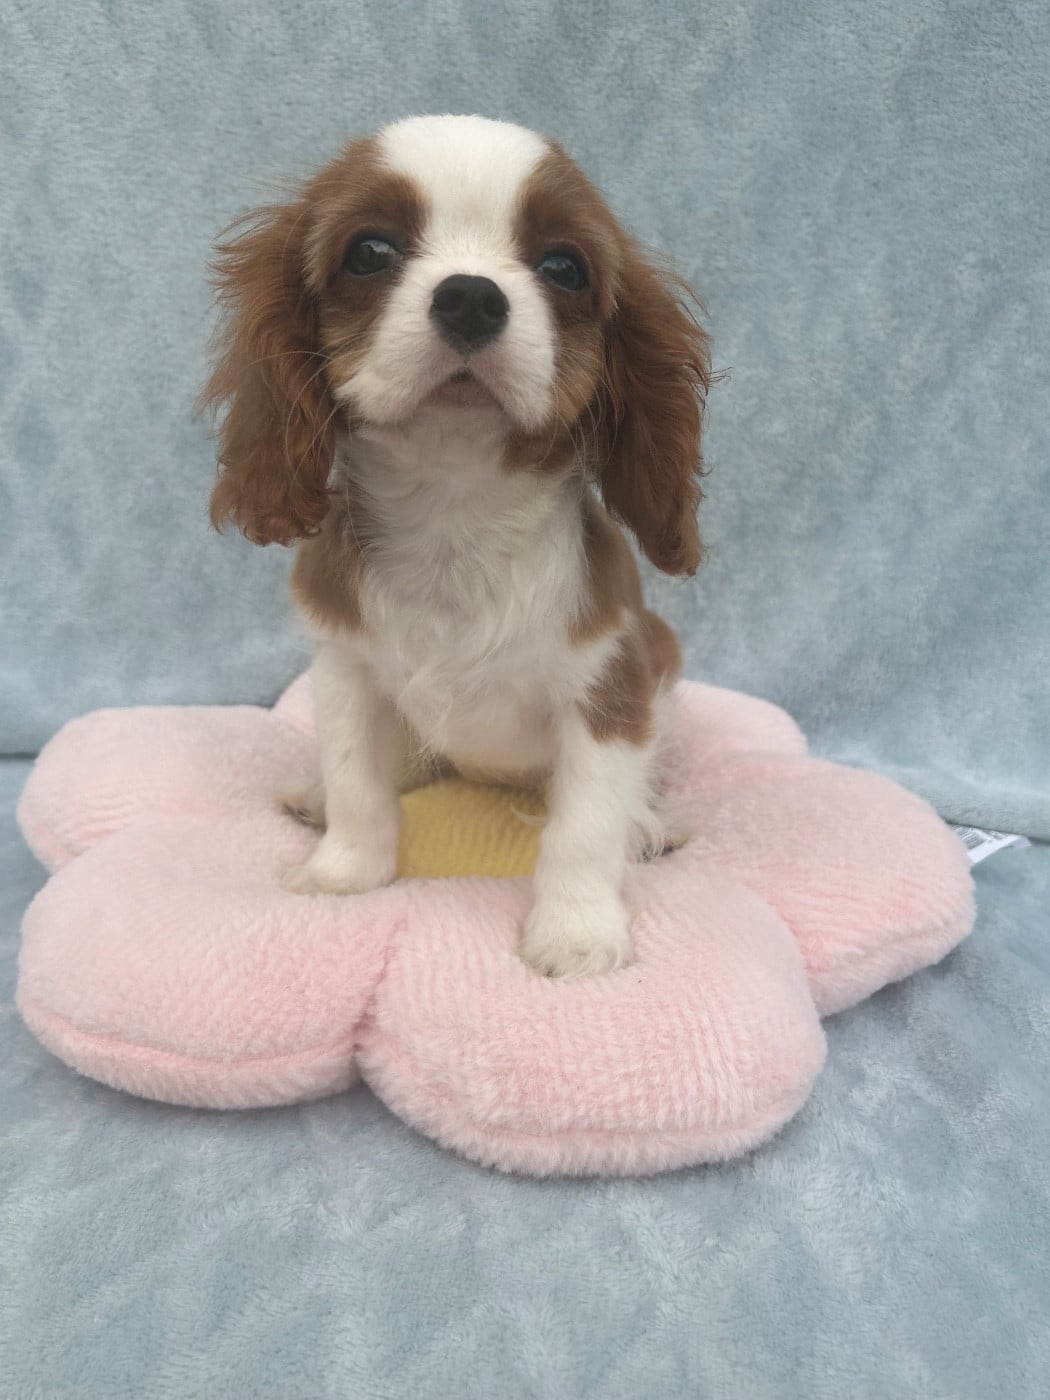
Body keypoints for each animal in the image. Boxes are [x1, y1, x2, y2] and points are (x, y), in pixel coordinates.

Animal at [203, 114, 711, 978]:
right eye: (369, 251)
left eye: (564, 267)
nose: (471, 295)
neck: (455, 511)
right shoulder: (346, 672)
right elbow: (359, 784)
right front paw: (345, 873)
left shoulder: (610, 686)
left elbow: (585, 827)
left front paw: (576, 933)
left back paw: (652, 824)